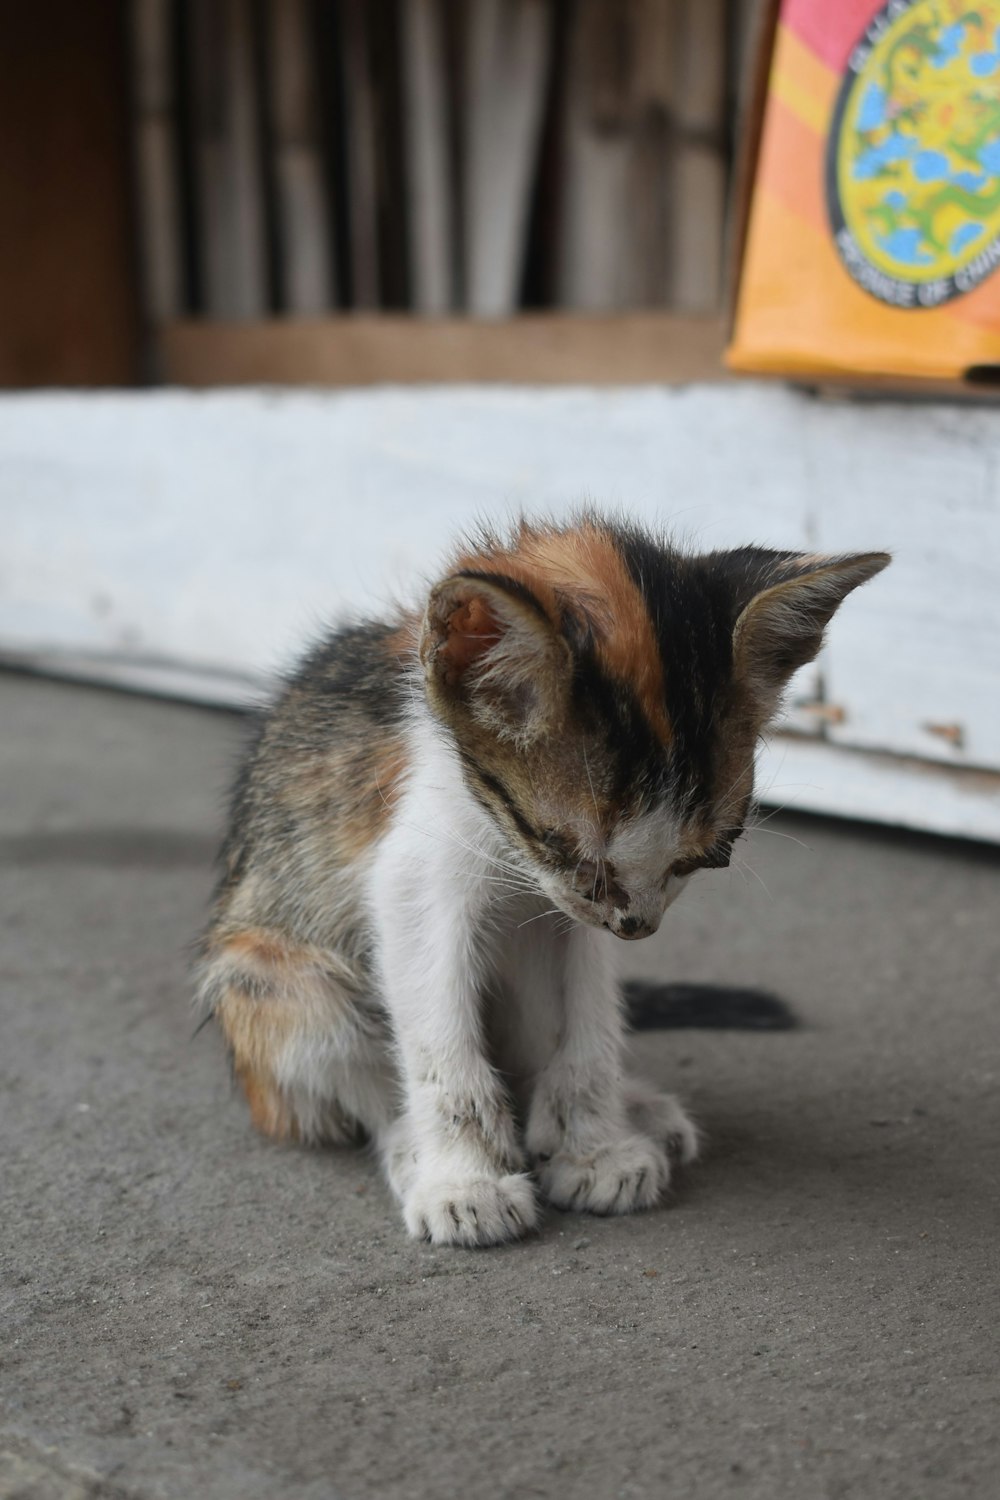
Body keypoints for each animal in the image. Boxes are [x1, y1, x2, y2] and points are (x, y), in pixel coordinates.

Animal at [194, 513, 893, 1242]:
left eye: (705, 857)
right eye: (564, 847)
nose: (637, 926)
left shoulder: (565, 914)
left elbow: (585, 1013)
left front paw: (594, 1147)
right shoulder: (416, 876)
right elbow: (438, 1039)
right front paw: (464, 1180)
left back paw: (631, 1109)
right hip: (265, 978)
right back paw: (414, 1150)